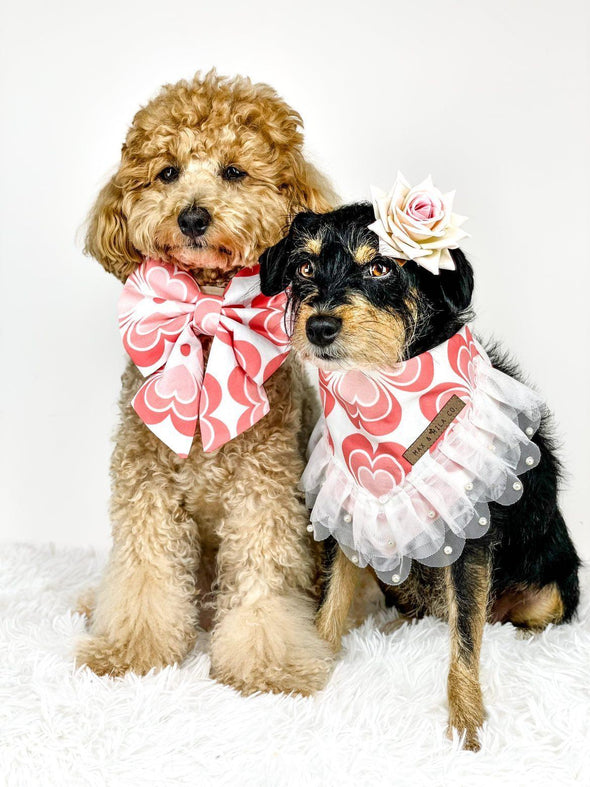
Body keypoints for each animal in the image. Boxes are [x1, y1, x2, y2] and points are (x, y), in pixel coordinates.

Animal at [77, 69, 340, 696]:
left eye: (234, 171)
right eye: (167, 172)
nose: (192, 217)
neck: (203, 313)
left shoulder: (265, 493)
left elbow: (263, 583)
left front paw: (270, 665)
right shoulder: (145, 483)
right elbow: (144, 574)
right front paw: (130, 651)